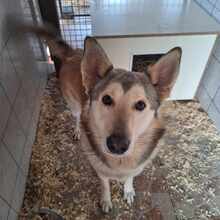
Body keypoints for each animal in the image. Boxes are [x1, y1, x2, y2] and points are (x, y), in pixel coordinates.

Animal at [24, 25, 181, 213]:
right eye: (106, 99)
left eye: (141, 105)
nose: (117, 145)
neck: (120, 163)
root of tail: (74, 53)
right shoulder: (100, 171)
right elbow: (105, 185)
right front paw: (106, 201)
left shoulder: (136, 168)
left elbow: (130, 178)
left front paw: (128, 190)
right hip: (74, 106)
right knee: (77, 117)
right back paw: (77, 130)